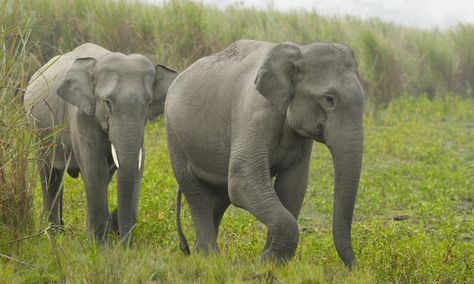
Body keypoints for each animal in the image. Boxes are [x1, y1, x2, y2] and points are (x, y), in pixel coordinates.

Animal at [24, 43, 177, 243]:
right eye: (107, 102)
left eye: (148, 103)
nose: (123, 244)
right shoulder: (81, 115)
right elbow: (95, 169)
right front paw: (98, 244)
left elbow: (128, 169)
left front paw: (95, 239)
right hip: (37, 131)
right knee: (50, 177)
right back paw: (54, 235)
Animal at [165, 38, 364, 268]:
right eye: (329, 99)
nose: (354, 268)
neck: (299, 50)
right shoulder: (254, 114)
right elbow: (243, 180)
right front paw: (265, 262)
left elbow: (292, 186)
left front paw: (270, 262)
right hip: (174, 135)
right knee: (197, 193)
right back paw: (209, 257)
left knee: (220, 195)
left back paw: (201, 254)